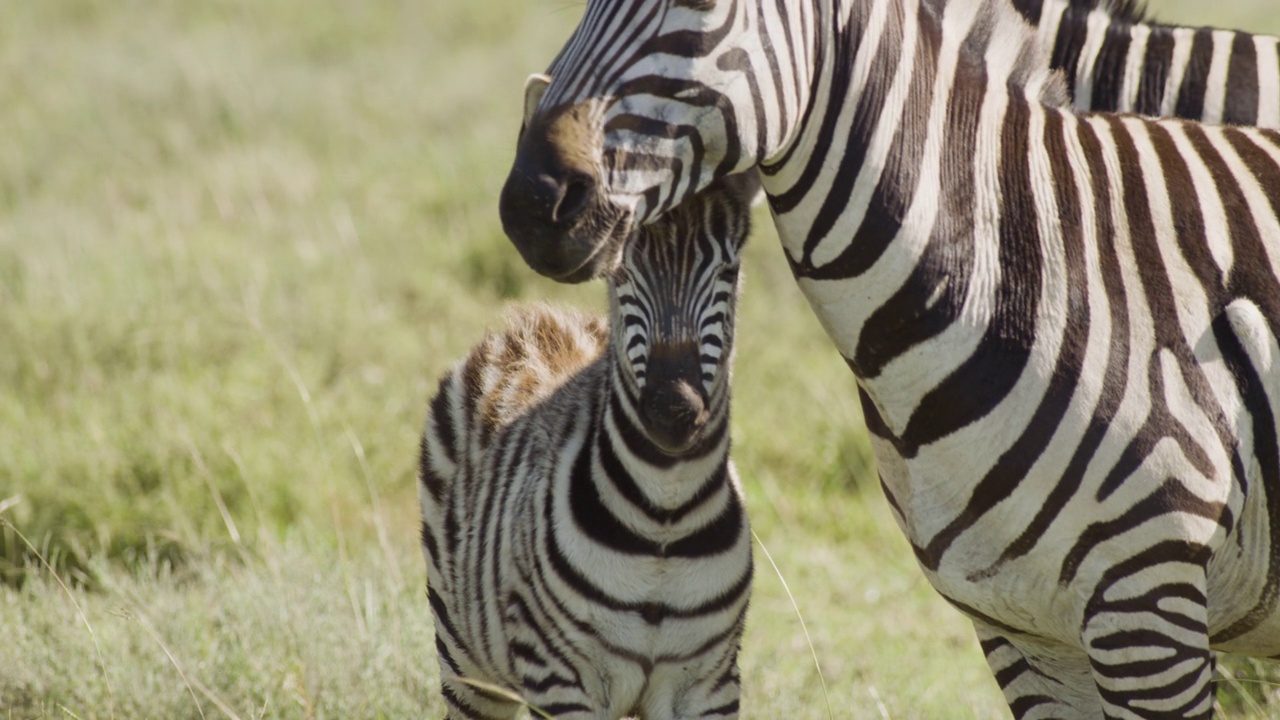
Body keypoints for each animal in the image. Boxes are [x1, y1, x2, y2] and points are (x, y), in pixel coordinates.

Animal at [419, 170, 757, 712]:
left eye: (728, 269)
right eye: (621, 273)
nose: (672, 410)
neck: (666, 513)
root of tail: (534, 320)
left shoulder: (709, 683)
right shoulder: (559, 676)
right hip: (465, 660)